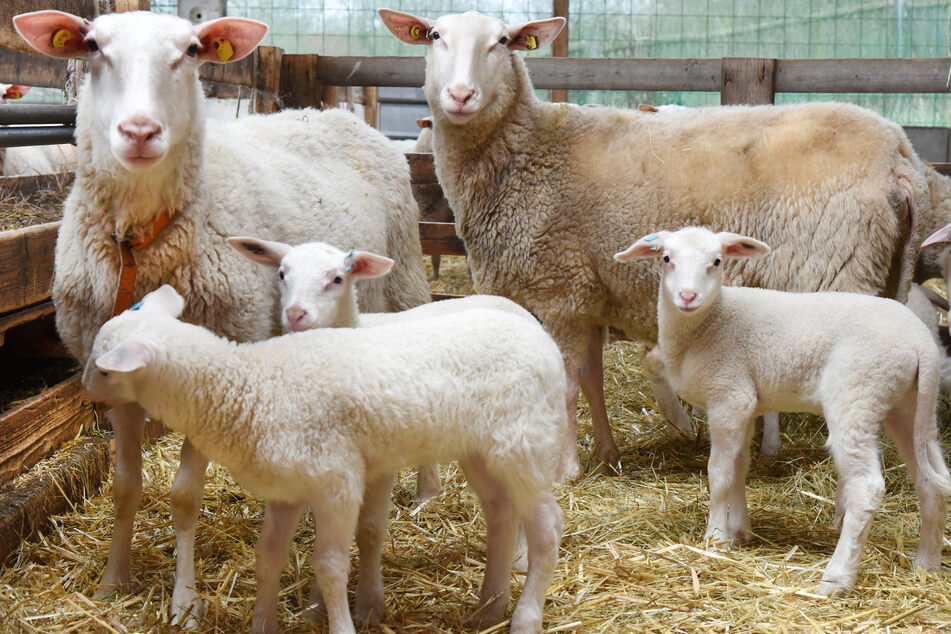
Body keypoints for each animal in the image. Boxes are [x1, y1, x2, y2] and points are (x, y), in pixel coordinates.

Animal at [13, 8, 432, 624]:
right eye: (92, 46)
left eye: (191, 51)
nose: (139, 132)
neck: (142, 241)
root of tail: (332, 112)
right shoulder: (118, 387)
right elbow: (125, 488)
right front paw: (114, 580)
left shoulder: (211, 372)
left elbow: (184, 497)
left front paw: (184, 601)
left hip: (406, 281)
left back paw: (424, 492)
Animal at [82, 286, 564, 632]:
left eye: (105, 369)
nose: (88, 393)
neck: (245, 385)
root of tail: (543, 339)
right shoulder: (286, 488)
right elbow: (267, 556)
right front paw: (262, 624)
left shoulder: (337, 479)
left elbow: (331, 568)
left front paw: (342, 623)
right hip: (481, 452)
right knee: (501, 514)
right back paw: (488, 609)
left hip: (525, 444)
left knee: (546, 530)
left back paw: (524, 618)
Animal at [378, 7, 928, 478]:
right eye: (434, 36)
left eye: (502, 42)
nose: (460, 95)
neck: (526, 152)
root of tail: (900, 155)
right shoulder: (589, 291)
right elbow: (594, 381)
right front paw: (606, 453)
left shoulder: (560, 291)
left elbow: (567, 386)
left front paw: (565, 469)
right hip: (881, 273)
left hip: (838, 275)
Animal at [612, 226, 951, 592]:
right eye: (666, 258)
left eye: (717, 261)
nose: (688, 296)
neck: (709, 323)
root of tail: (921, 342)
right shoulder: (744, 406)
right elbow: (739, 467)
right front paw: (740, 532)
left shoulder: (729, 396)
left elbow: (719, 473)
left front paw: (715, 537)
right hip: (911, 407)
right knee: (932, 482)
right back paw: (926, 566)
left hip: (857, 395)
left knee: (867, 487)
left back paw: (837, 578)